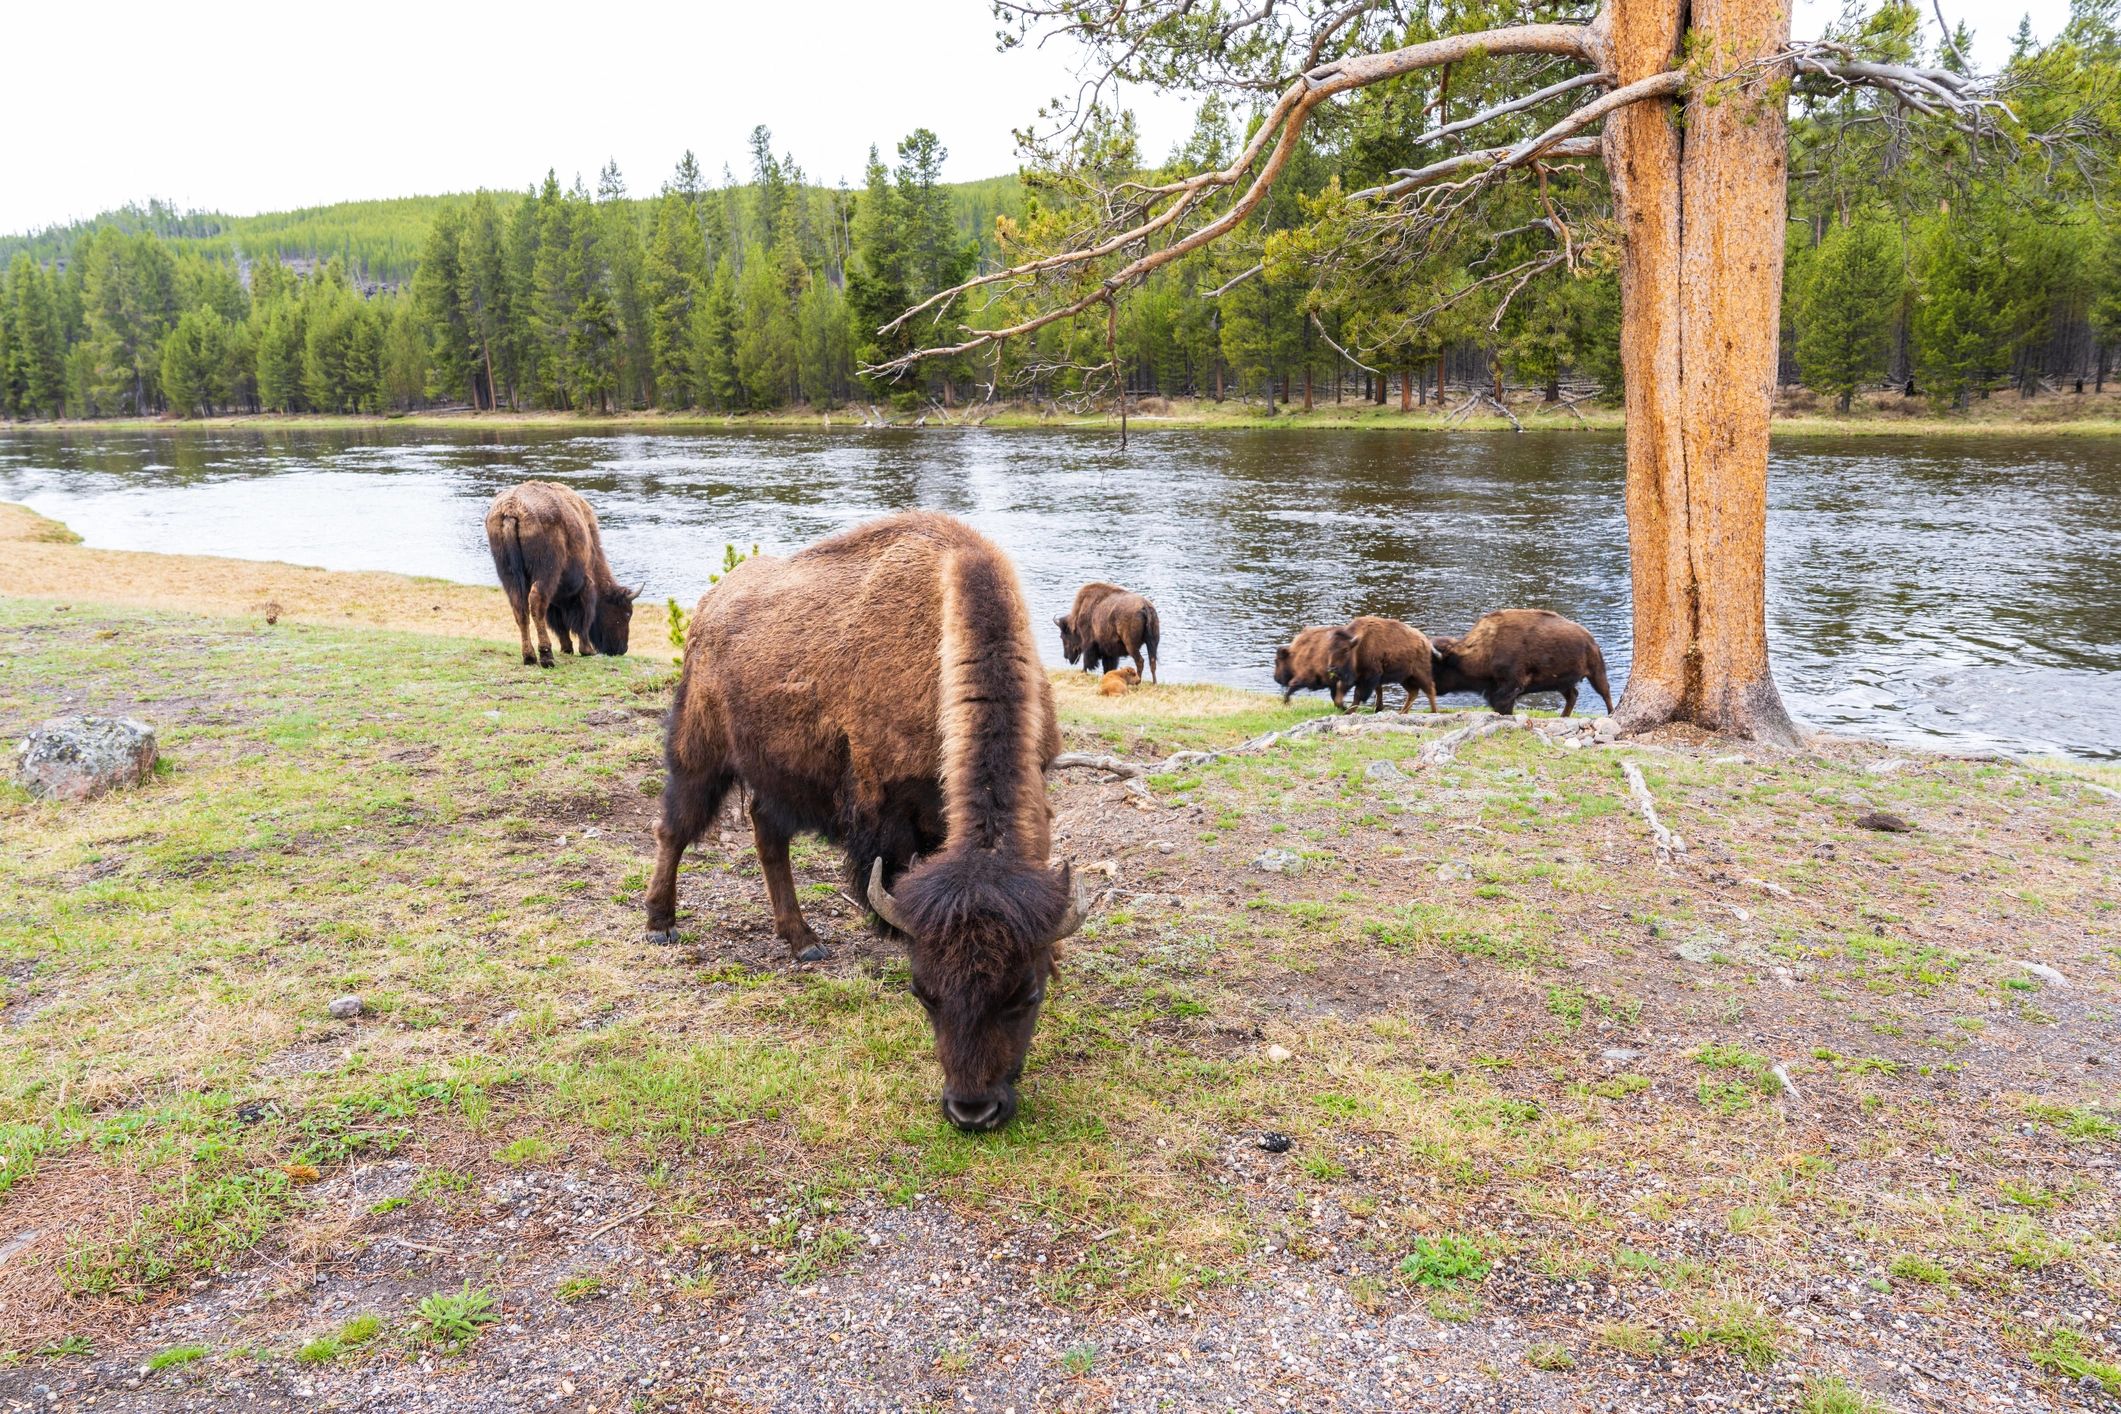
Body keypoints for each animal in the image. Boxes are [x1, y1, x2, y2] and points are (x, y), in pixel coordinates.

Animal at [484, 481, 638, 668]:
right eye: (627, 613)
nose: (621, 649)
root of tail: (511, 510)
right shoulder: (585, 585)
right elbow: (583, 617)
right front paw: (586, 650)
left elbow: (559, 623)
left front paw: (567, 648)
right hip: (545, 573)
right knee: (536, 604)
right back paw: (546, 657)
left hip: (509, 575)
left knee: (520, 609)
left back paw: (529, 657)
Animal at [645, 512, 1088, 1132]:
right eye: (924, 992)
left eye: (1026, 994)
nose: (973, 1111)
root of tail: (711, 605)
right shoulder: (887, 811)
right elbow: (891, 878)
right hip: (701, 751)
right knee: (675, 829)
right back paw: (661, 923)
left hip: (776, 776)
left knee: (767, 839)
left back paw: (803, 941)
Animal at [1431, 608, 1613, 717]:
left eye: (1436, 666)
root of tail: (1590, 639)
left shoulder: (1510, 688)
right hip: (1561, 683)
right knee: (1573, 695)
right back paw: (1563, 716)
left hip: (1596, 672)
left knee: (1605, 693)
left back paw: (1611, 713)